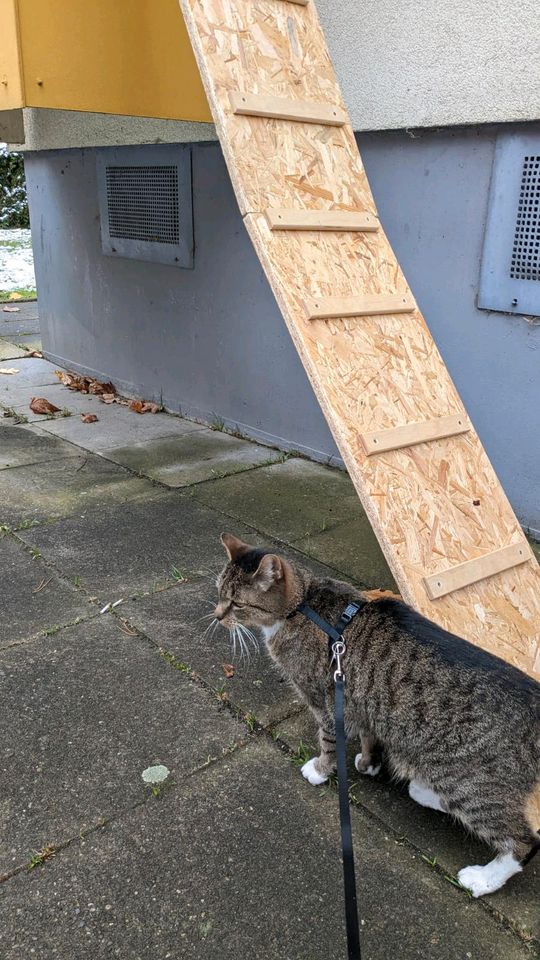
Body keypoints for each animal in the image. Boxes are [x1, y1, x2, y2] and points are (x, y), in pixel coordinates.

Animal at [216, 532, 540, 900]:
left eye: (237, 603)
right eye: (219, 593)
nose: (217, 615)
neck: (304, 606)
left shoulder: (326, 704)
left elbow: (328, 744)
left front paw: (320, 770)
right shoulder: (360, 699)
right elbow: (368, 734)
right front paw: (369, 763)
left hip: (468, 781)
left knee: (523, 841)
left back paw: (483, 878)